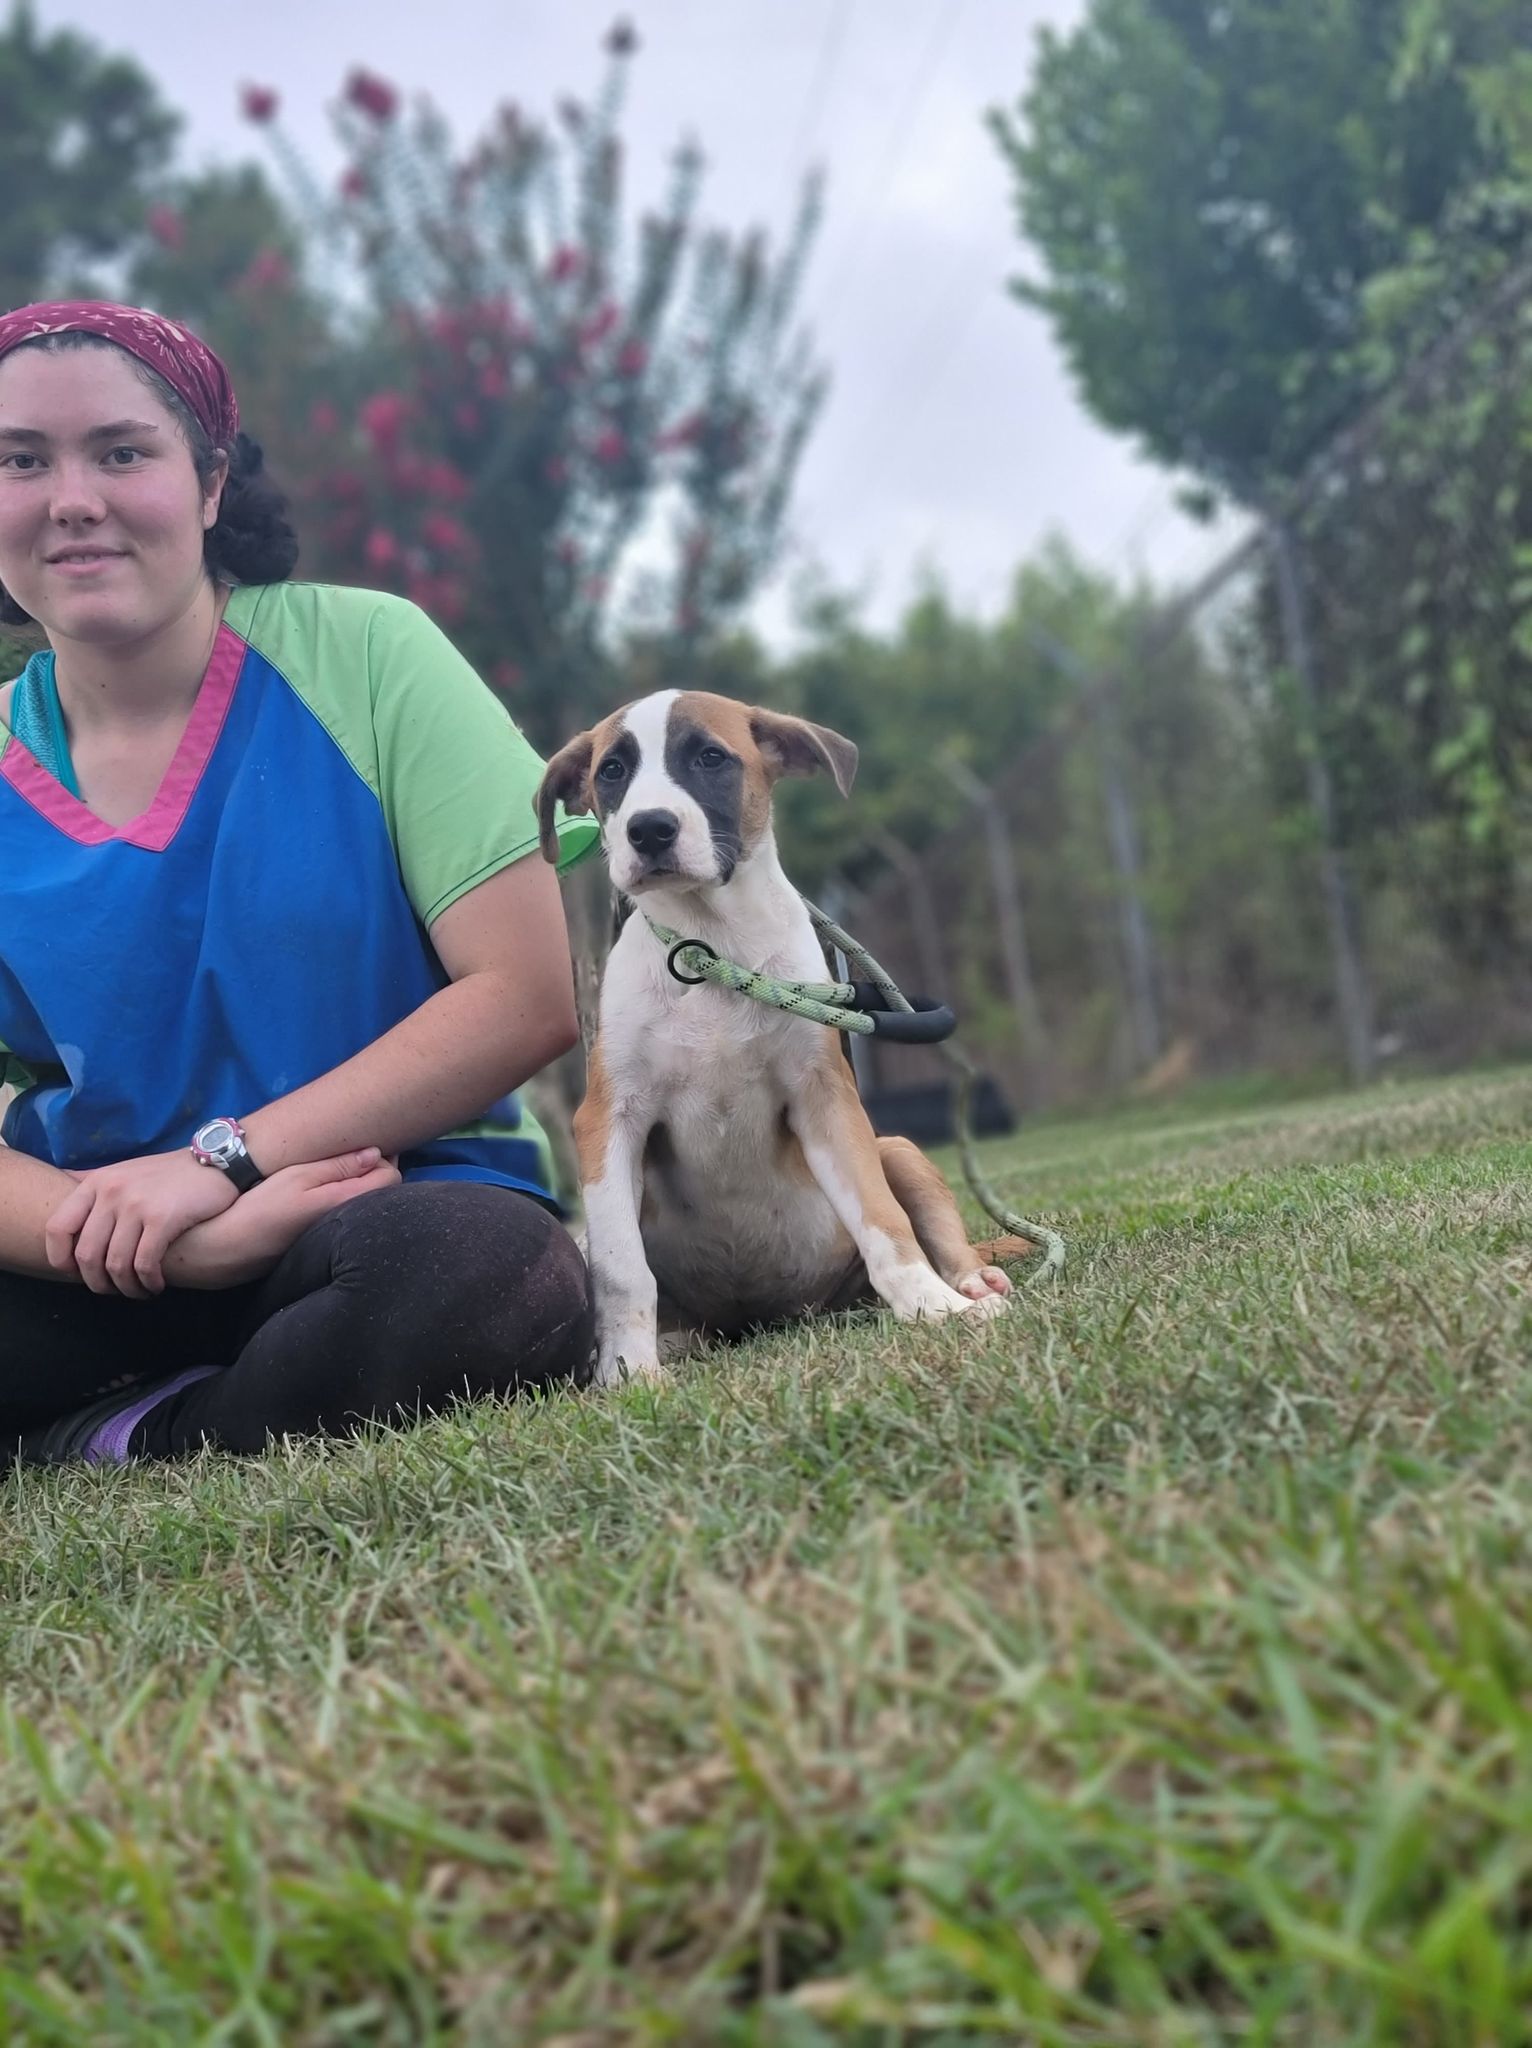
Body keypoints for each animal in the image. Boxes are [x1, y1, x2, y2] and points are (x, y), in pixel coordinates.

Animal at [536, 692, 1028, 1392]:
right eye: (612, 771)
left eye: (710, 757)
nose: (649, 830)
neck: (711, 947)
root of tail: (769, 1319)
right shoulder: (609, 1121)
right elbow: (621, 1266)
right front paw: (630, 1373)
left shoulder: (825, 1100)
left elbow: (883, 1217)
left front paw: (932, 1306)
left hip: (898, 1148)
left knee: (936, 1226)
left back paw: (968, 1284)